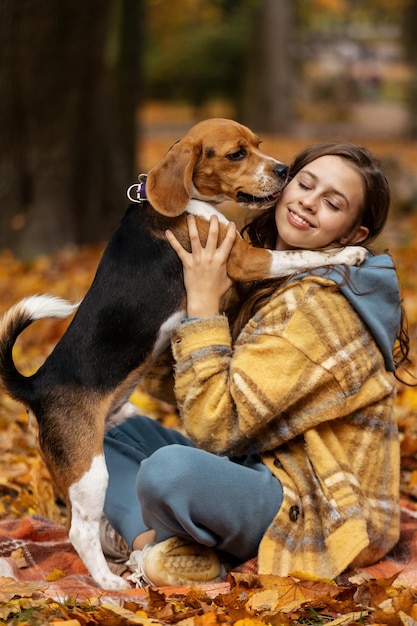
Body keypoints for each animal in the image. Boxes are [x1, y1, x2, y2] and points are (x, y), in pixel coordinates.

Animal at [0, 118, 366, 588]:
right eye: (236, 154)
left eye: (258, 145)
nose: (284, 170)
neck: (193, 201)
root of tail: (36, 385)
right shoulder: (249, 261)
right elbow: (303, 253)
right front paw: (349, 251)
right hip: (89, 470)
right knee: (79, 530)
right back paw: (110, 582)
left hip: (108, 433)